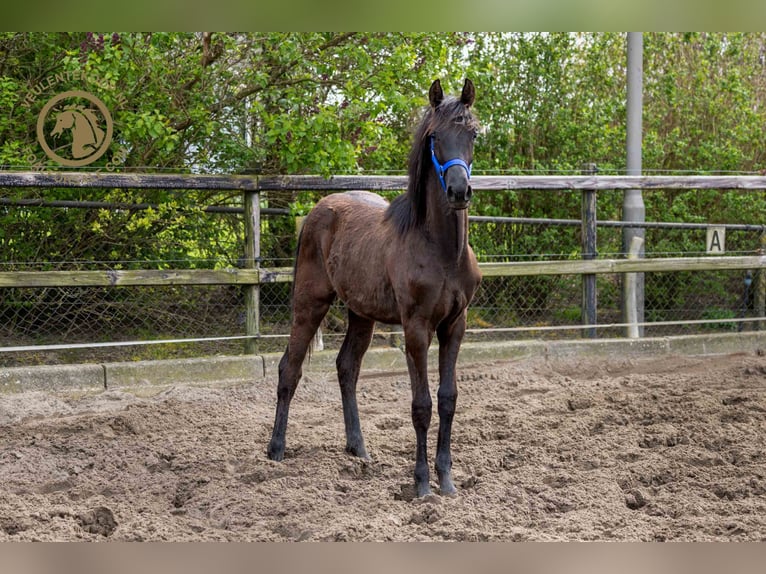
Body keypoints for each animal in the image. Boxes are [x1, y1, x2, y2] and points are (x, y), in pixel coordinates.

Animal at [270, 79, 484, 498]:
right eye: (434, 137)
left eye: (473, 133)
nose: (458, 191)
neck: (441, 251)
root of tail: (318, 210)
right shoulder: (416, 328)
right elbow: (421, 405)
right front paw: (422, 485)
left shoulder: (455, 325)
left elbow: (447, 399)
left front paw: (448, 482)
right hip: (310, 303)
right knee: (290, 368)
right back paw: (276, 450)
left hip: (361, 314)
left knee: (347, 368)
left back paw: (358, 449)